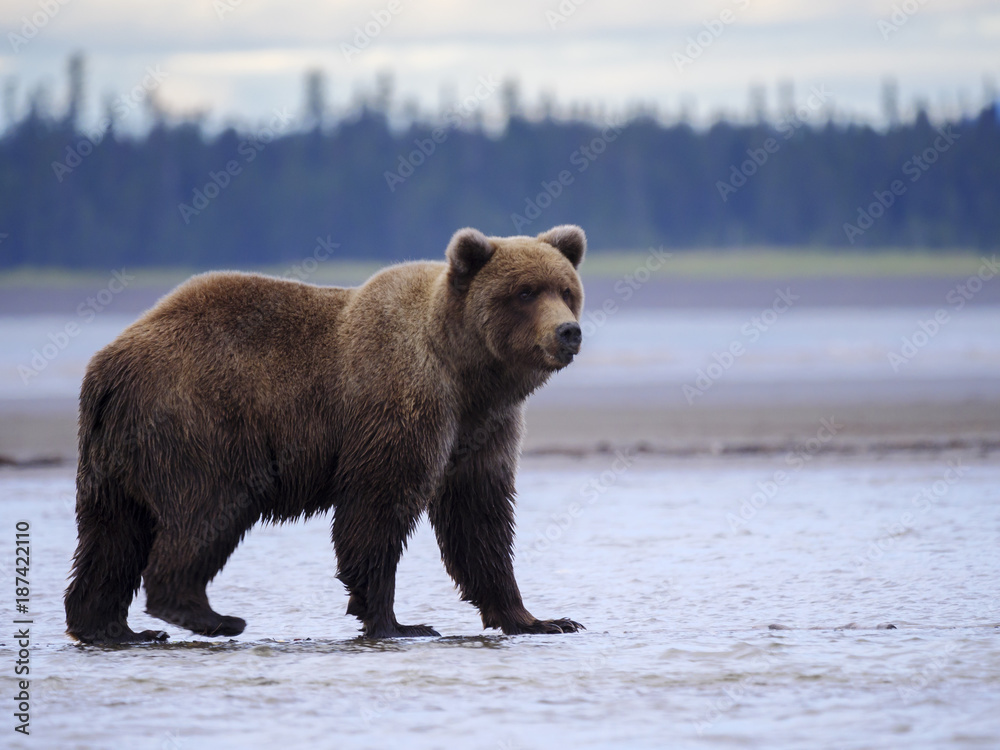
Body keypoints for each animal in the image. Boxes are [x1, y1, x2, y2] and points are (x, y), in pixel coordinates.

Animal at [64, 225, 584, 648]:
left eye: (566, 289)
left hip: (113, 452)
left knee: (111, 534)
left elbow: (479, 519)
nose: (568, 332)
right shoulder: (401, 404)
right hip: (200, 422)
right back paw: (210, 616)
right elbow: (377, 508)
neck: (466, 372)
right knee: (207, 509)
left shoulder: (484, 427)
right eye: (524, 292)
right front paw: (398, 622)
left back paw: (112, 628)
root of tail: (108, 363)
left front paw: (542, 619)